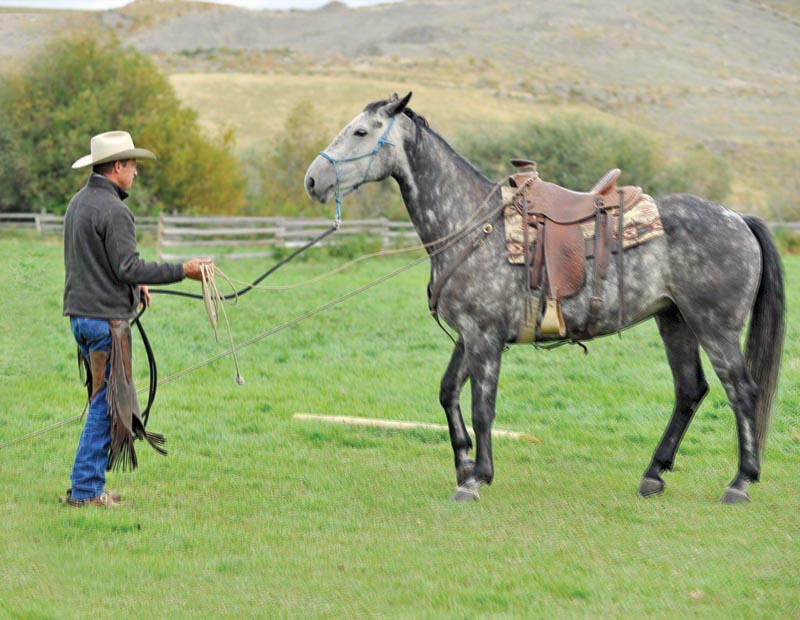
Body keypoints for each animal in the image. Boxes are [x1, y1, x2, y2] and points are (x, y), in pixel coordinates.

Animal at [304, 92, 785, 504]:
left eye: (361, 132)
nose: (313, 179)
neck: (473, 224)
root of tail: (738, 218)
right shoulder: (469, 336)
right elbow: (447, 392)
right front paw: (463, 463)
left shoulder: (484, 339)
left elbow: (483, 408)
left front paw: (476, 479)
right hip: (675, 321)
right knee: (690, 390)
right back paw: (654, 474)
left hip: (715, 327)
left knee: (741, 390)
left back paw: (741, 481)